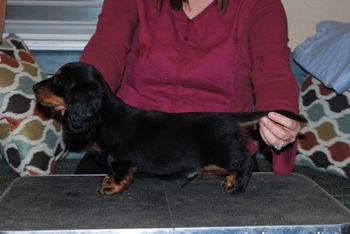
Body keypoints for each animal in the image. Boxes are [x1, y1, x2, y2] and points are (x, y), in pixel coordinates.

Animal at [33, 61, 306, 196]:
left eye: (59, 81)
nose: (35, 87)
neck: (103, 114)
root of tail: (228, 117)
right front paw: (109, 180)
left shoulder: (120, 157)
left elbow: (120, 173)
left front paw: (112, 186)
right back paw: (230, 179)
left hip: (223, 152)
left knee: (246, 161)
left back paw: (237, 186)